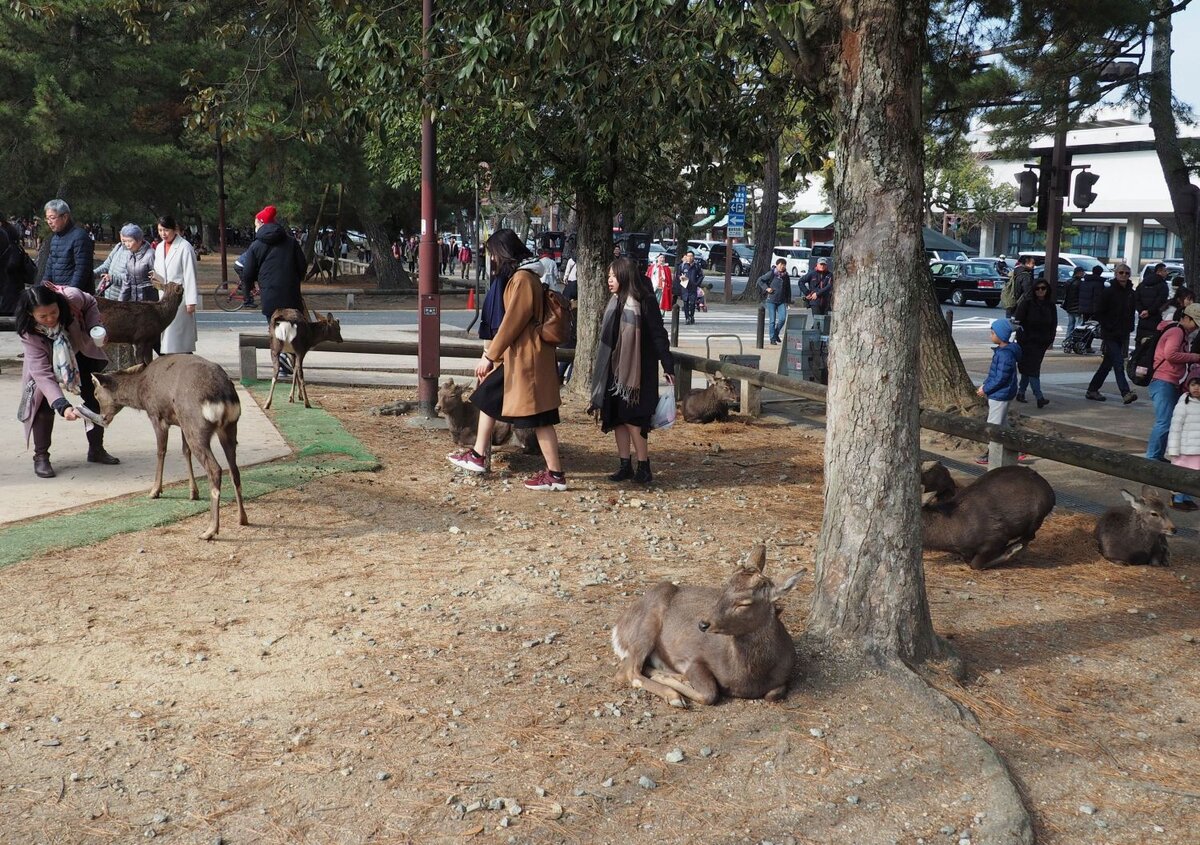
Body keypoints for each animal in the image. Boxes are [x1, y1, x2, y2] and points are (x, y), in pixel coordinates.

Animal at [91, 355, 248, 542]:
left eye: (95, 393)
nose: (103, 418)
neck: (141, 393)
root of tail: (223, 397)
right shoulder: (180, 422)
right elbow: (185, 451)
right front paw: (193, 493)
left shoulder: (157, 415)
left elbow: (161, 451)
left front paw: (154, 491)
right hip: (227, 427)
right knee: (234, 469)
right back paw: (242, 518)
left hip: (197, 426)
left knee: (215, 469)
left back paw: (210, 530)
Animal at [609, 544, 806, 700]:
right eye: (724, 589)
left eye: (745, 603)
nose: (703, 624)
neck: (746, 679)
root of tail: (618, 628)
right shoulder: (695, 658)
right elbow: (709, 694)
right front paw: (678, 681)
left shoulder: (784, 676)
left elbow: (773, 694)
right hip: (646, 628)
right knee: (627, 672)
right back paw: (673, 694)